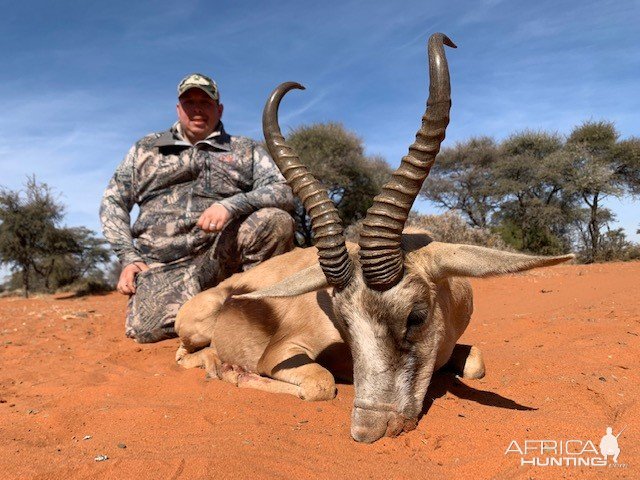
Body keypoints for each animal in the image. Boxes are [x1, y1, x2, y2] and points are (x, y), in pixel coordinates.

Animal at [172, 32, 572, 442]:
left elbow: (476, 364)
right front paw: (239, 373)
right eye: (343, 322)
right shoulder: (283, 353)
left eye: (416, 316)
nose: (368, 429)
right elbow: (321, 385)